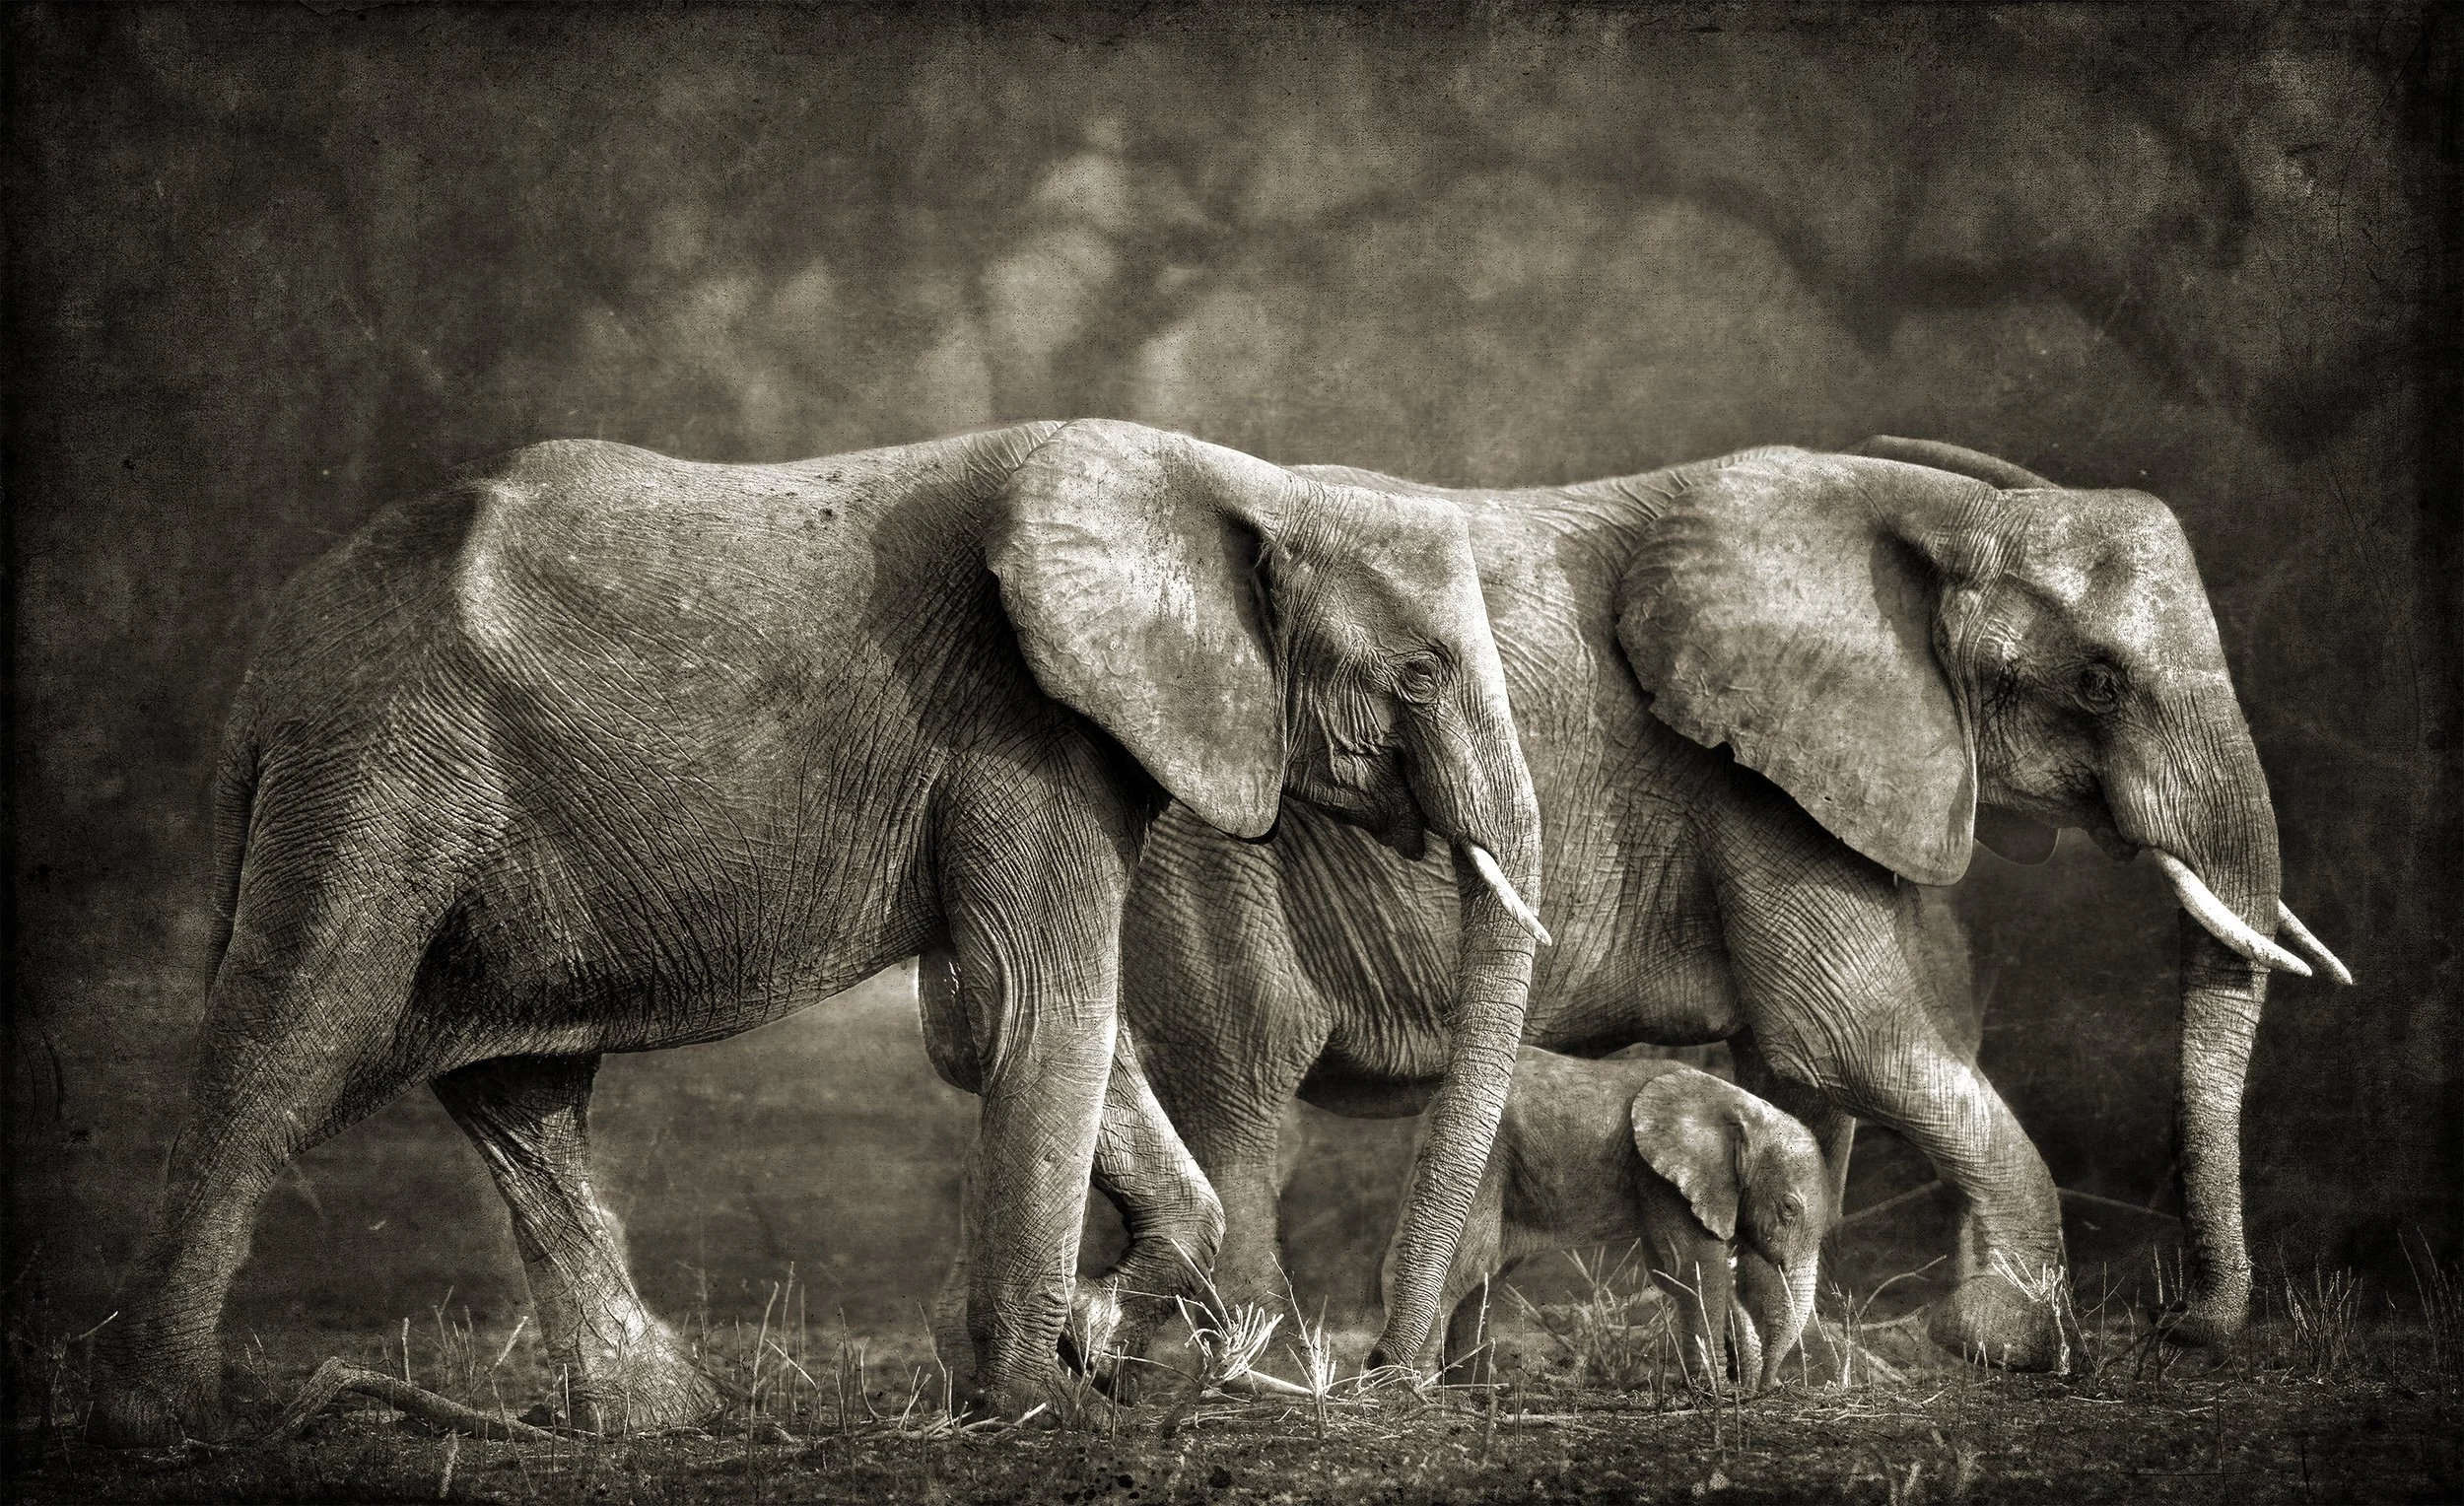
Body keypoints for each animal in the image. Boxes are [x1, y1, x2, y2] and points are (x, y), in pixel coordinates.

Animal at [89, 418, 1550, 1445]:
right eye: (1420, 671)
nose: (1386, 1378)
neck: (1224, 475)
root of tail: (257, 680)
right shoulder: (1021, 722)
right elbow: (1047, 1011)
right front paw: (1038, 1410)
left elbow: (1005, 1019)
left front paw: (1094, 1338)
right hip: (380, 778)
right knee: (293, 1037)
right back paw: (166, 1419)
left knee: (519, 1089)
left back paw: (657, 1425)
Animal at [1381, 1048, 1836, 1393]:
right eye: (1789, 1208)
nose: (1766, 1387)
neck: (1742, 1107)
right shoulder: (1659, 1174)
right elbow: (1693, 1264)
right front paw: (1718, 1393)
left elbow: (1671, 1268)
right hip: (1487, 1160)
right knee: (1468, 1259)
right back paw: (1413, 1387)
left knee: (1486, 1270)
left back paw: (1471, 1391)